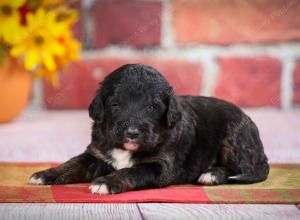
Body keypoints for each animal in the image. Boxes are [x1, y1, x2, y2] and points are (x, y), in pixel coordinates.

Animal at [29, 64, 270, 194]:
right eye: (115, 105)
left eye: (152, 107)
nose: (132, 132)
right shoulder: (96, 154)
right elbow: (72, 163)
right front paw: (46, 174)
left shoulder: (160, 165)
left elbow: (132, 171)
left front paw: (107, 182)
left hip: (234, 137)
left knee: (244, 169)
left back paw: (212, 174)